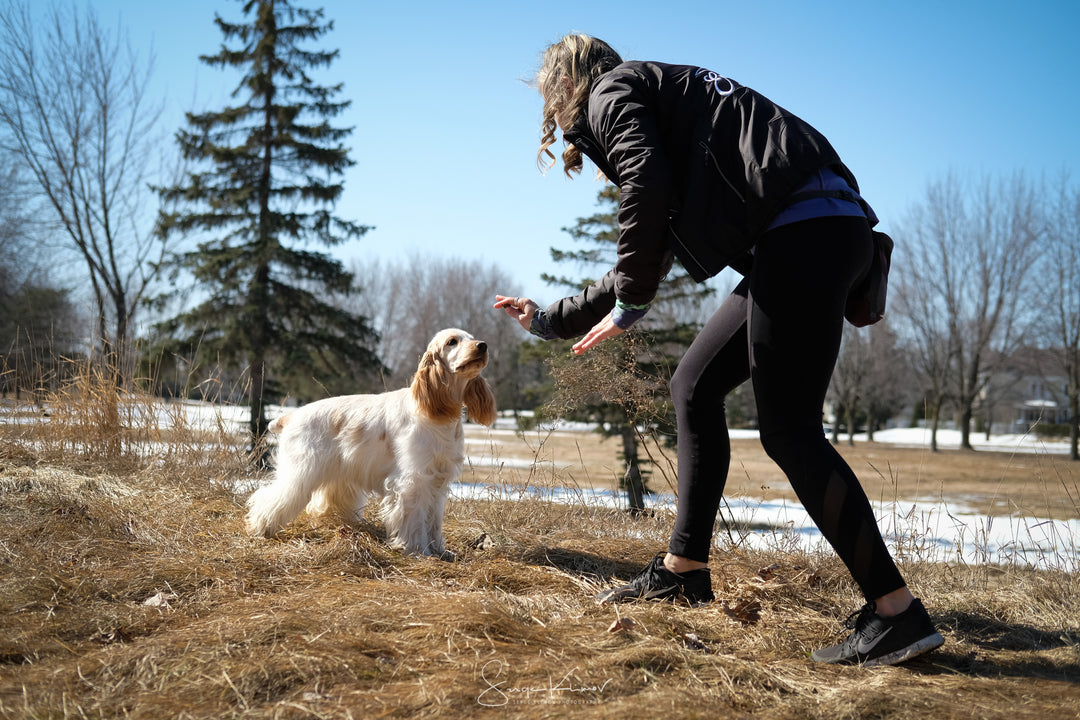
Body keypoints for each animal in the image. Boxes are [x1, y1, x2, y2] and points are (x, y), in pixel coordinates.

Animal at [243, 330, 494, 561]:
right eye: (452, 341)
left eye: (471, 337)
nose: (483, 345)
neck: (437, 414)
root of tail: (291, 416)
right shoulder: (413, 481)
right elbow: (414, 521)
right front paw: (418, 551)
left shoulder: (437, 482)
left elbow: (434, 522)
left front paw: (441, 551)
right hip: (300, 473)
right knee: (269, 498)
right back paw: (260, 529)